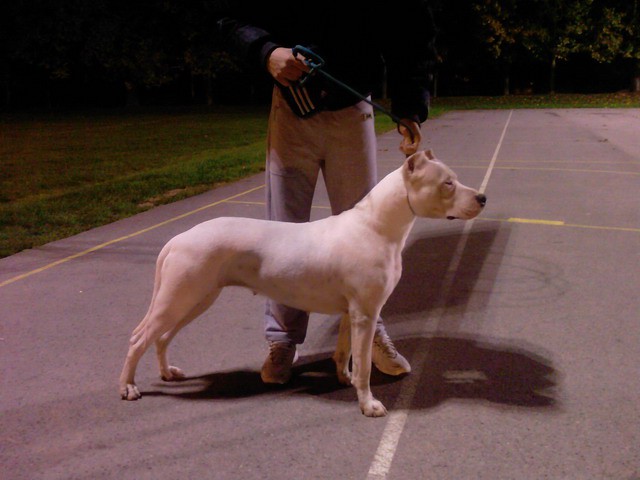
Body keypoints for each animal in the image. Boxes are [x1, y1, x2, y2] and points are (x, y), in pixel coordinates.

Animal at [120, 151, 484, 416]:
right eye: (447, 183)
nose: (482, 198)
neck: (377, 226)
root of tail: (177, 238)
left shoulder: (351, 313)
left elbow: (344, 352)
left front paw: (345, 379)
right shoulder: (365, 314)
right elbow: (364, 364)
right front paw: (368, 404)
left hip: (194, 299)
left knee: (161, 337)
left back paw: (168, 373)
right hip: (178, 298)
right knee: (139, 337)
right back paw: (128, 387)